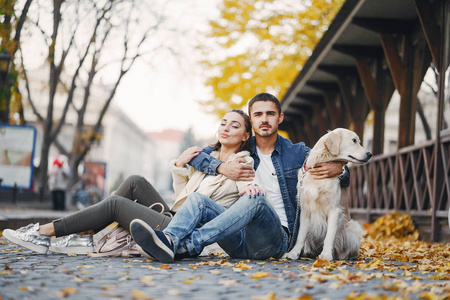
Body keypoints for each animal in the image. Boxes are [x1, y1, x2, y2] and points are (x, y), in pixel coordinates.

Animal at [284, 127, 372, 262]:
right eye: (354, 140)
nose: (370, 154)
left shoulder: (334, 209)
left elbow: (329, 235)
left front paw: (326, 255)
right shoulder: (305, 210)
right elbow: (300, 236)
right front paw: (293, 253)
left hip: (353, 227)